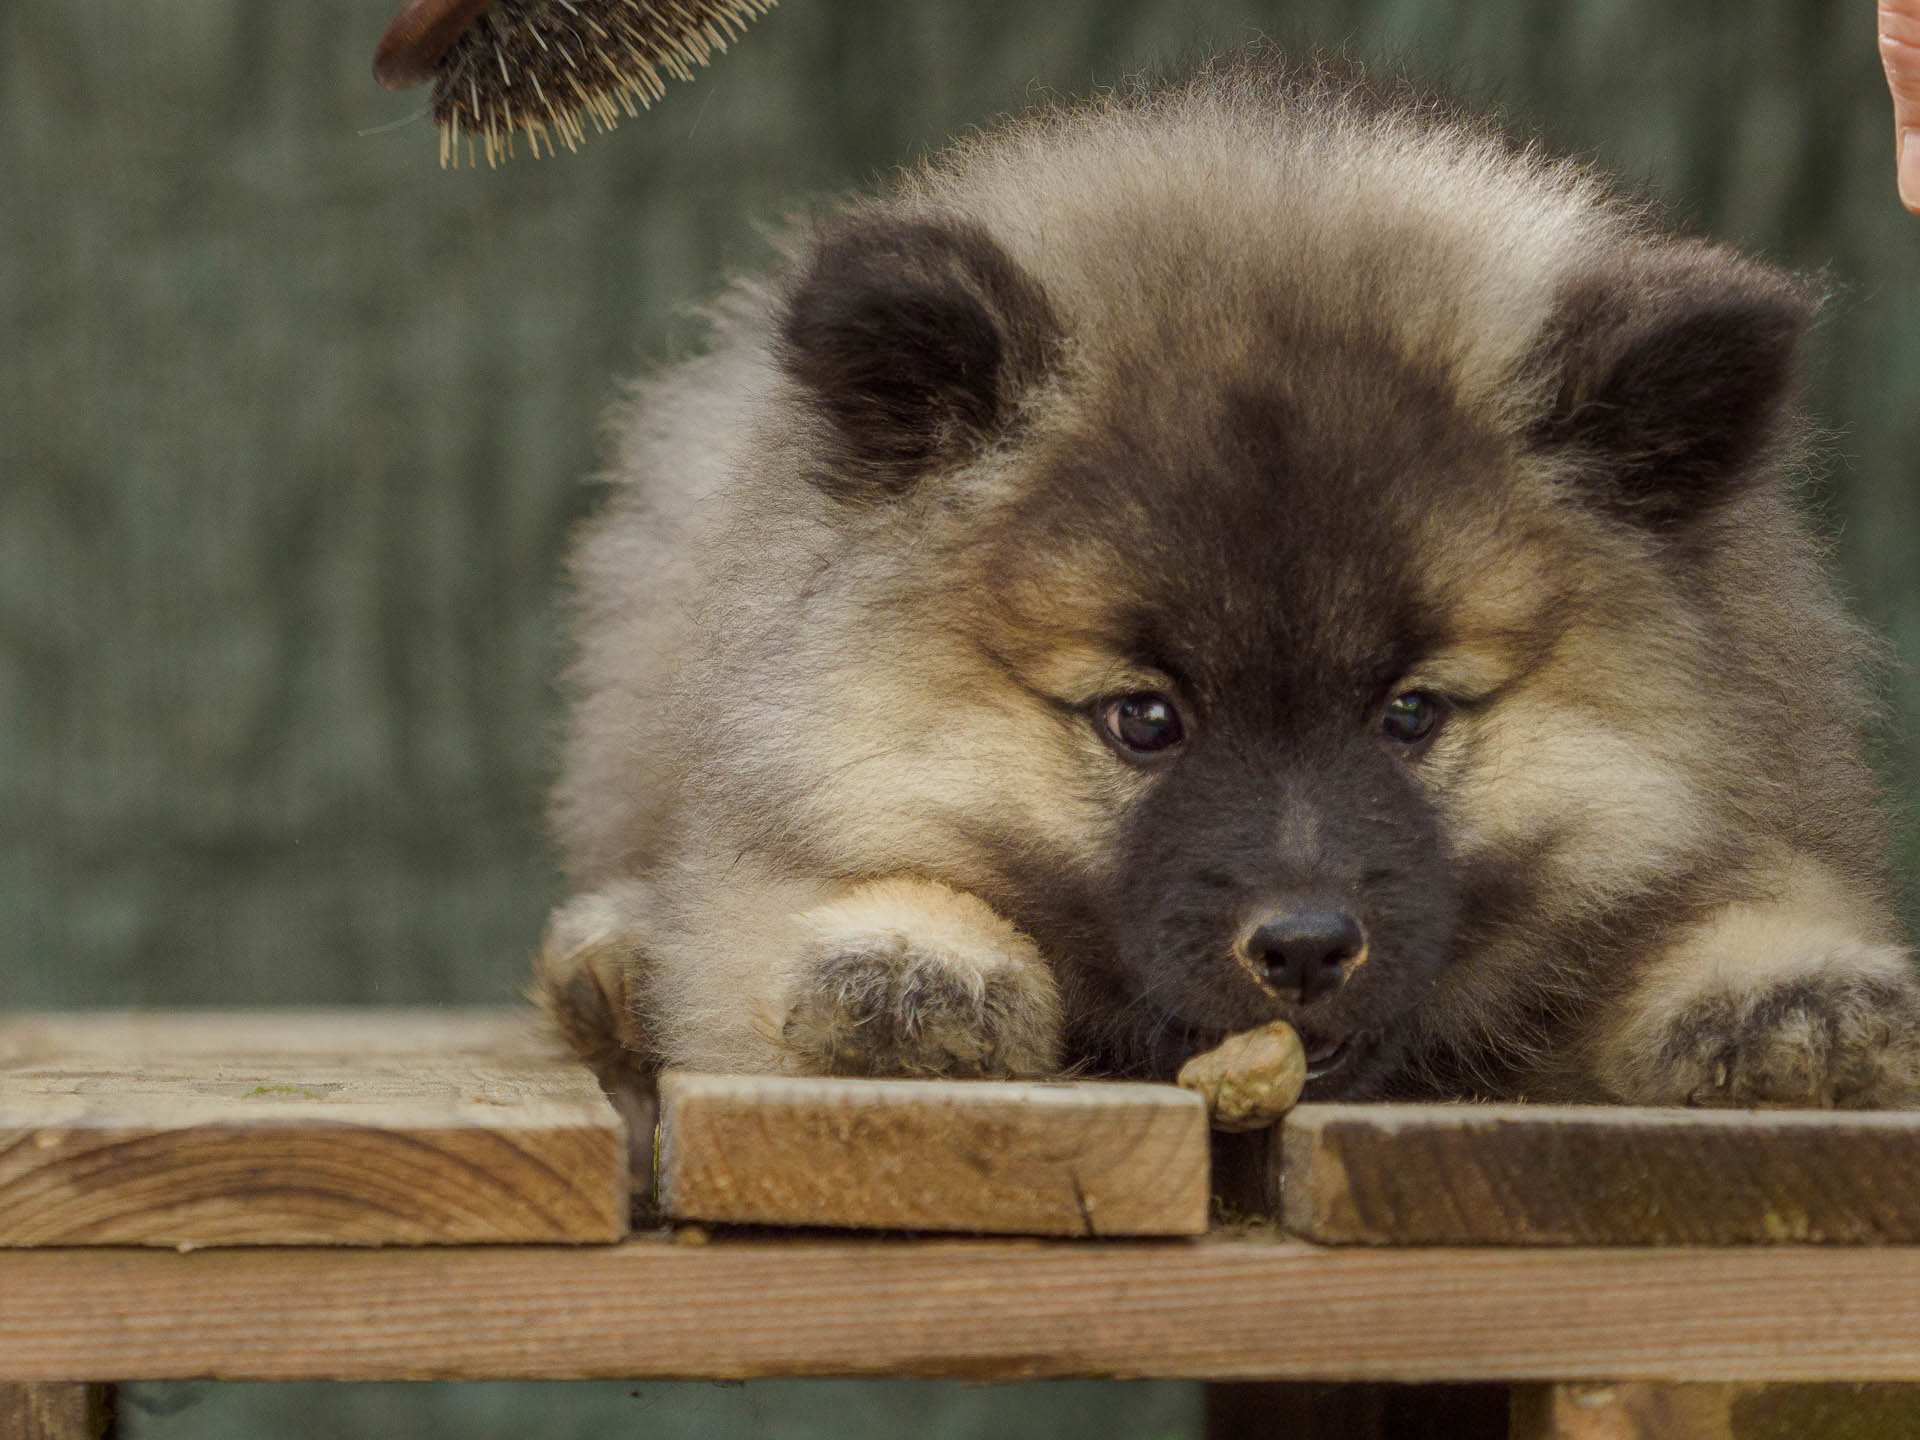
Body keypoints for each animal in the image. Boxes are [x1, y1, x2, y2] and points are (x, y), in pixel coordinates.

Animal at [537, 56, 1920, 1113]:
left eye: (1412, 714)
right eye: (1143, 720)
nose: (1304, 947)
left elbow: (1743, 890)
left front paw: (1781, 986)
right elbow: (779, 901)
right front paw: (902, 953)